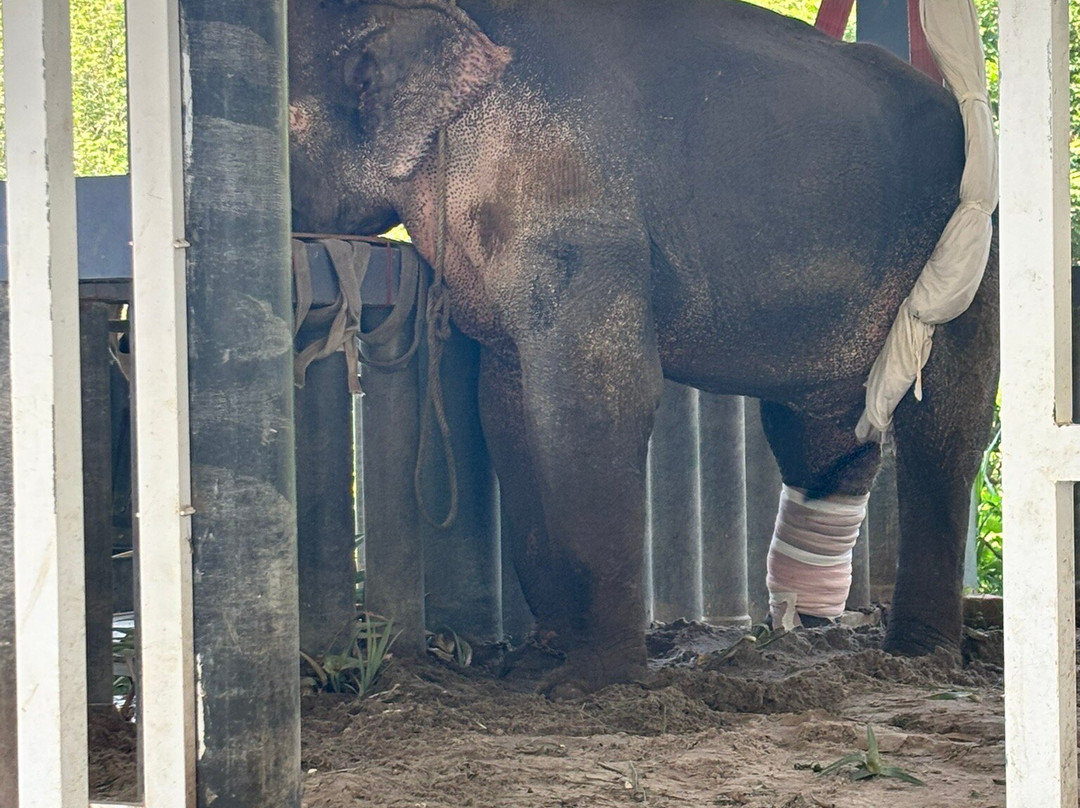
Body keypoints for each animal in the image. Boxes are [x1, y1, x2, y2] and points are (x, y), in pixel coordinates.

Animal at [288, 0, 998, 692]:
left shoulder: (572, 208)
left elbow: (597, 400)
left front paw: (592, 686)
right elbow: (508, 410)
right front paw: (538, 665)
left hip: (962, 254)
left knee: (944, 427)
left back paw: (918, 655)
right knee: (824, 442)